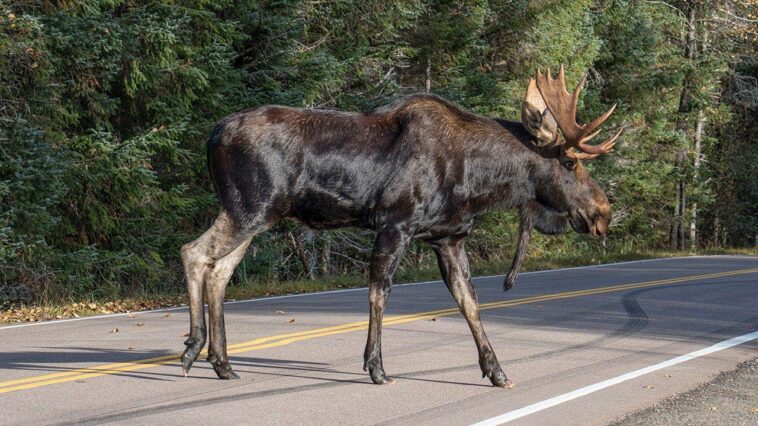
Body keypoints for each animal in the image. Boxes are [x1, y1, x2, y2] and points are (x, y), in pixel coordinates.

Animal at [179, 65, 621, 388]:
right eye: (570, 162)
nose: (602, 213)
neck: (479, 178)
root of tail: (212, 136)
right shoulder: (396, 224)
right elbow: (380, 295)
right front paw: (376, 367)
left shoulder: (448, 238)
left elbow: (469, 302)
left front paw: (497, 372)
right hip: (249, 208)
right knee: (194, 252)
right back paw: (192, 349)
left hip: (259, 216)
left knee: (219, 271)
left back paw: (222, 363)